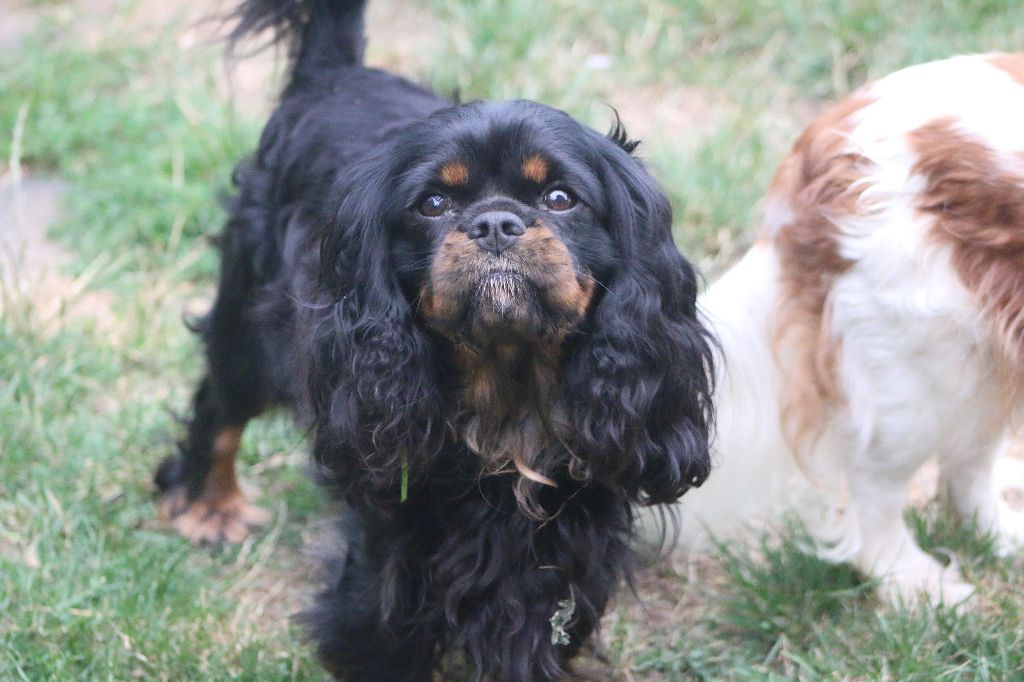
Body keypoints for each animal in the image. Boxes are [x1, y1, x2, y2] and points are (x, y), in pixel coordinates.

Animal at [155, 2, 716, 675]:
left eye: (560, 198)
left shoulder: (566, 562)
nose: (495, 222)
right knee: (221, 400)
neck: (509, 401)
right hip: (253, 323)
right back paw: (208, 506)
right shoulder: (389, 556)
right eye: (433, 204)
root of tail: (335, 72)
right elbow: (378, 633)